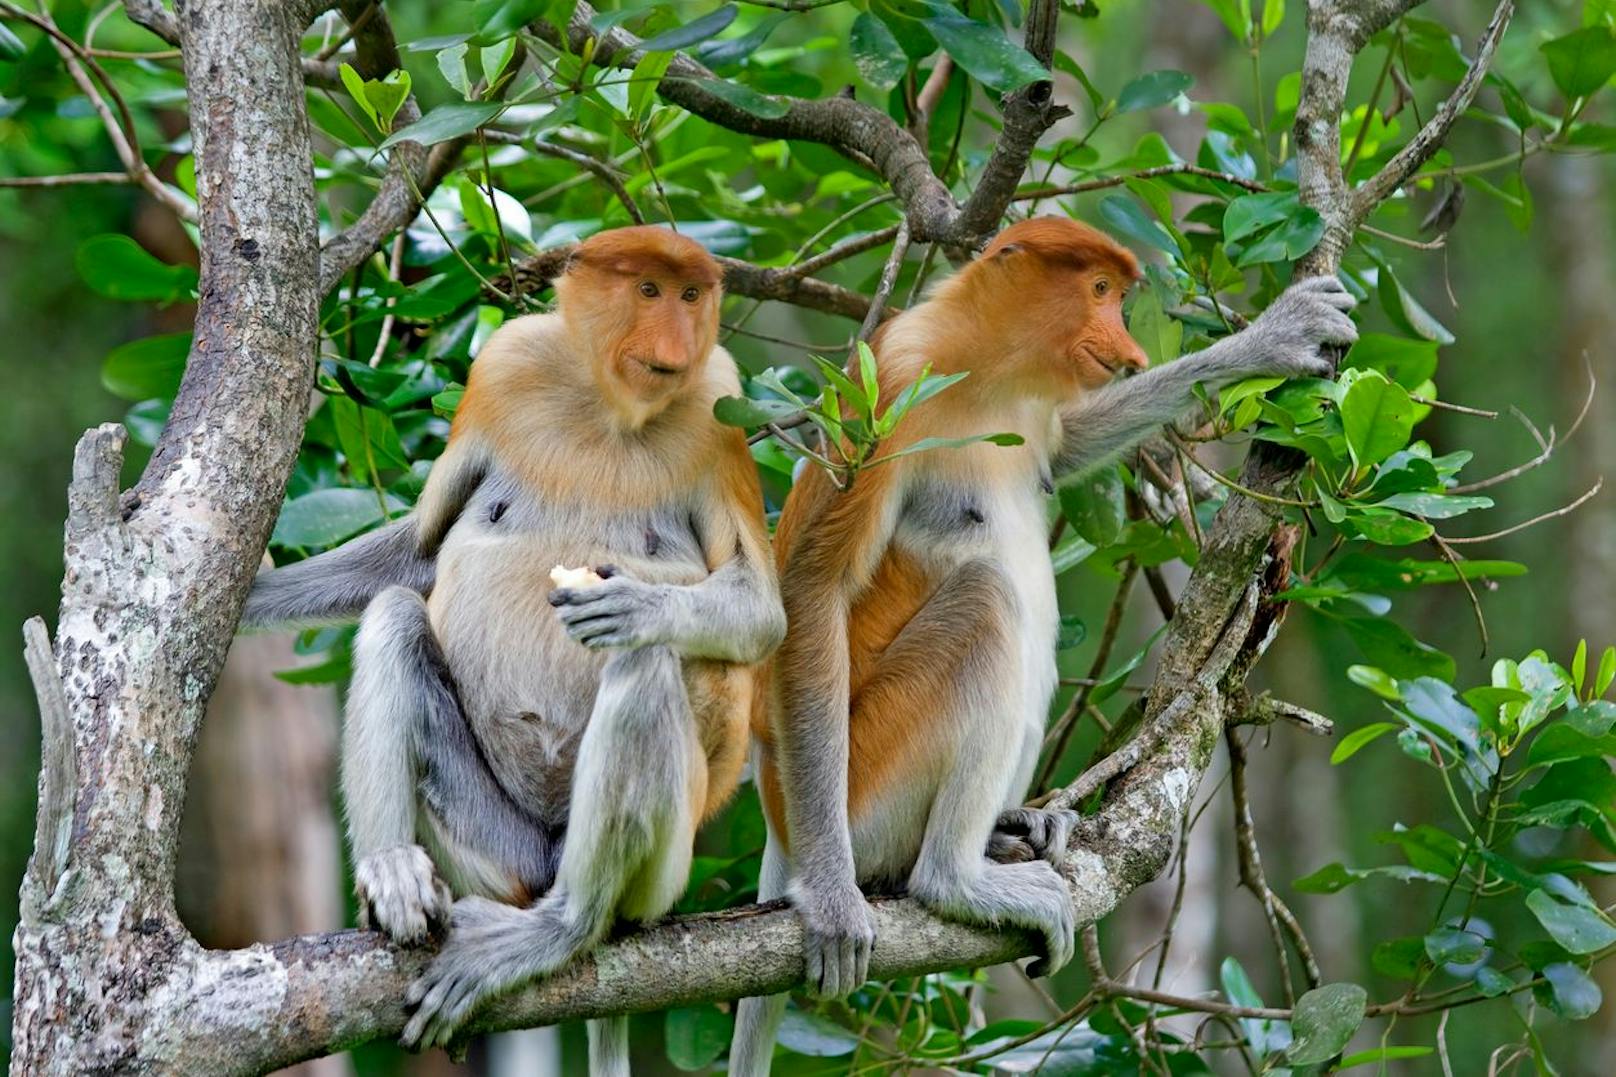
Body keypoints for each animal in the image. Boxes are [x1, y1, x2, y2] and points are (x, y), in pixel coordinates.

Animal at [240, 224, 788, 1067]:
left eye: (693, 295)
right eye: (649, 290)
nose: (676, 341)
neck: (608, 405)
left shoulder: (717, 407)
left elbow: (761, 613)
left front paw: (632, 601)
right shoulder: (502, 368)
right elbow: (419, 555)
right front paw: (244, 594)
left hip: (659, 872)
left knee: (642, 664)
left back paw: (560, 926)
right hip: (492, 849)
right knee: (394, 618)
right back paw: (395, 873)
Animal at [727, 213, 1357, 1067]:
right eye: (1098, 289)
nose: (1126, 346)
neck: (984, 368)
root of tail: (779, 825)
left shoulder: (1036, 410)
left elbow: (1068, 445)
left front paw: (1277, 337)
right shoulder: (888, 386)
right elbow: (812, 589)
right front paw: (833, 904)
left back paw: (1012, 828)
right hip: (869, 783)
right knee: (988, 605)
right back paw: (951, 876)